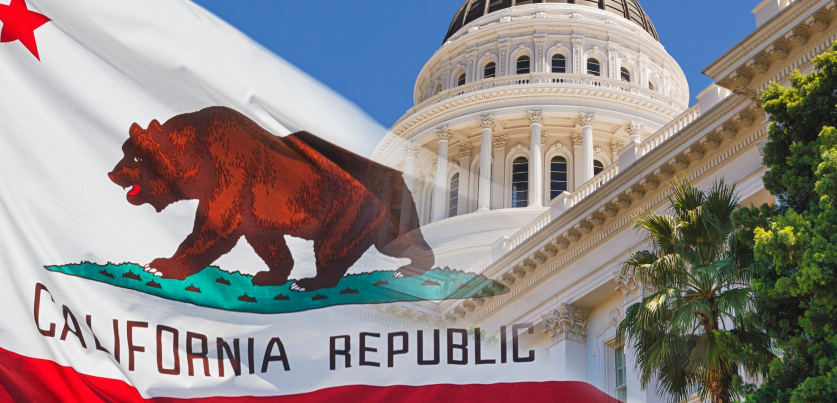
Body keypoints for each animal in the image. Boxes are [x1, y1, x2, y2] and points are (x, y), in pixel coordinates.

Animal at [106, 106, 432, 290]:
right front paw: (269, 274)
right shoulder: (256, 211)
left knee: (334, 248)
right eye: (124, 150)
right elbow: (269, 243)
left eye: (137, 156)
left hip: (347, 209)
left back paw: (312, 283)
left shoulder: (230, 173)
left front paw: (161, 264)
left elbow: (212, 228)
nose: (112, 173)